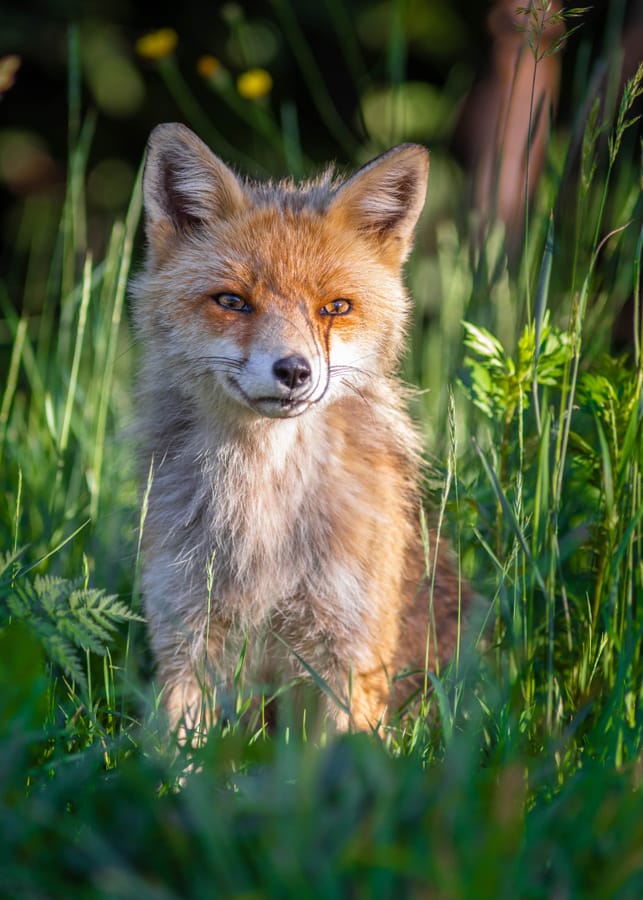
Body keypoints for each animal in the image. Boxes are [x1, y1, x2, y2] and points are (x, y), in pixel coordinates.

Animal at [132, 123, 468, 736]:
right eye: (233, 301)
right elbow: (177, 753)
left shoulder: (352, 650)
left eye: (335, 307)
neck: (266, 520)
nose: (293, 371)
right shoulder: (188, 637)